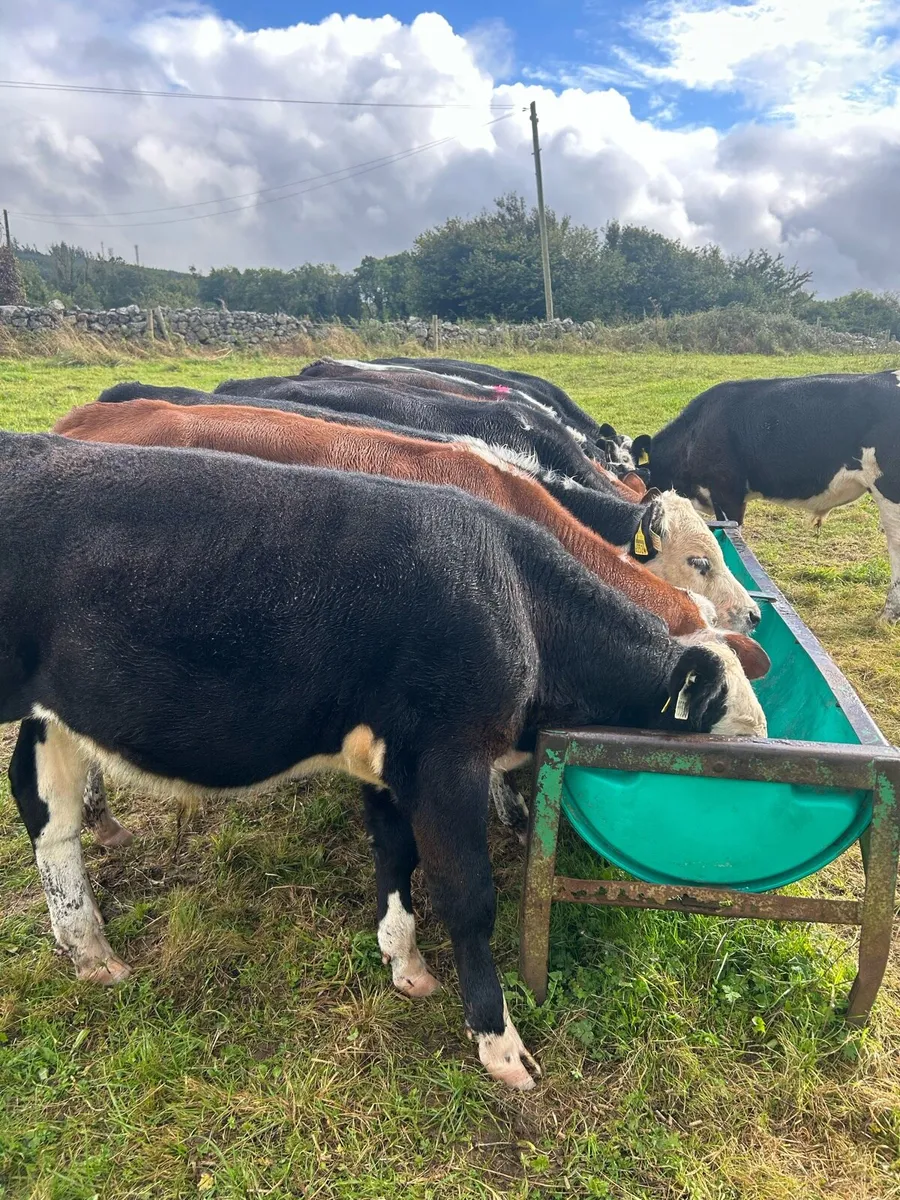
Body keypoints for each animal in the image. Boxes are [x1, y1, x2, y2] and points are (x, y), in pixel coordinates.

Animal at [4, 433, 767, 1089]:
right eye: (726, 724)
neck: (515, 594)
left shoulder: (392, 764)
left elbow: (395, 857)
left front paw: (405, 962)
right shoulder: (447, 763)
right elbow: (466, 896)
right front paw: (499, 1043)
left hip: (54, 713)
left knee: (48, 813)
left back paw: (89, 949)